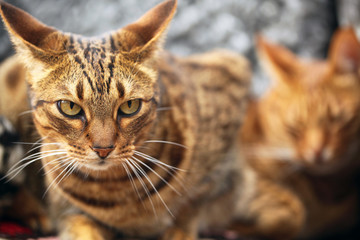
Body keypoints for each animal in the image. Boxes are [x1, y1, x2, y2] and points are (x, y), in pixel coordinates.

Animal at [0, 0, 250, 239]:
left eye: (130, 106)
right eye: (70, 107)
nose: (103, 149)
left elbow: (193, 205)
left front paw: (179, 230)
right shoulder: (66, 212)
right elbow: (81, 227)